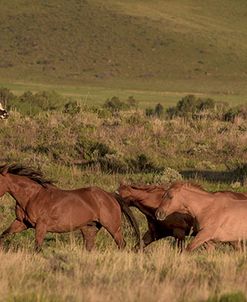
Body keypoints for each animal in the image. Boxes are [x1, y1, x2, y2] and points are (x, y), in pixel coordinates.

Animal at [0, 164, 140, 251]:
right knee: (90, 247)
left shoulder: (41, 226)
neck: (32, 196)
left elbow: (37, 247)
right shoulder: (21, 223)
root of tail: (110, 195)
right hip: (89, 228)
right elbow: (4, 234)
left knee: (121, 244)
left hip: (113, 227)